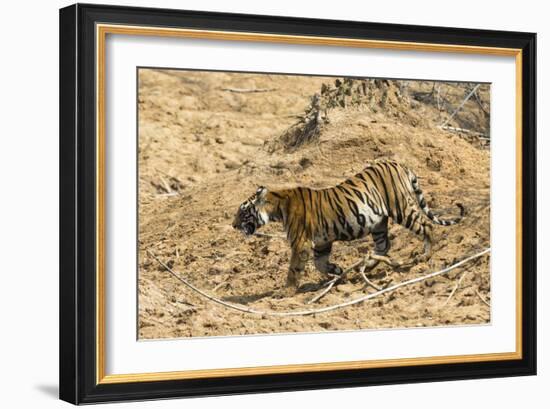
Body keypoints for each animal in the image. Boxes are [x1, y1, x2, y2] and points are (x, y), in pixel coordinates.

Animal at [233, 158, 466, 292]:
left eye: (243, 212)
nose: (233, 225)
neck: (277, 207)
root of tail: (400, 164)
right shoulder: (322, 242)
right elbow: (320, 264)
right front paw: (337, 270)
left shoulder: (300, 243)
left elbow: (294, 269)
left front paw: (286, 292)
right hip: (378, 223)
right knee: (384, 246)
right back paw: (368, 265)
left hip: (401, 208)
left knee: (426, 226)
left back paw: (425, 255)